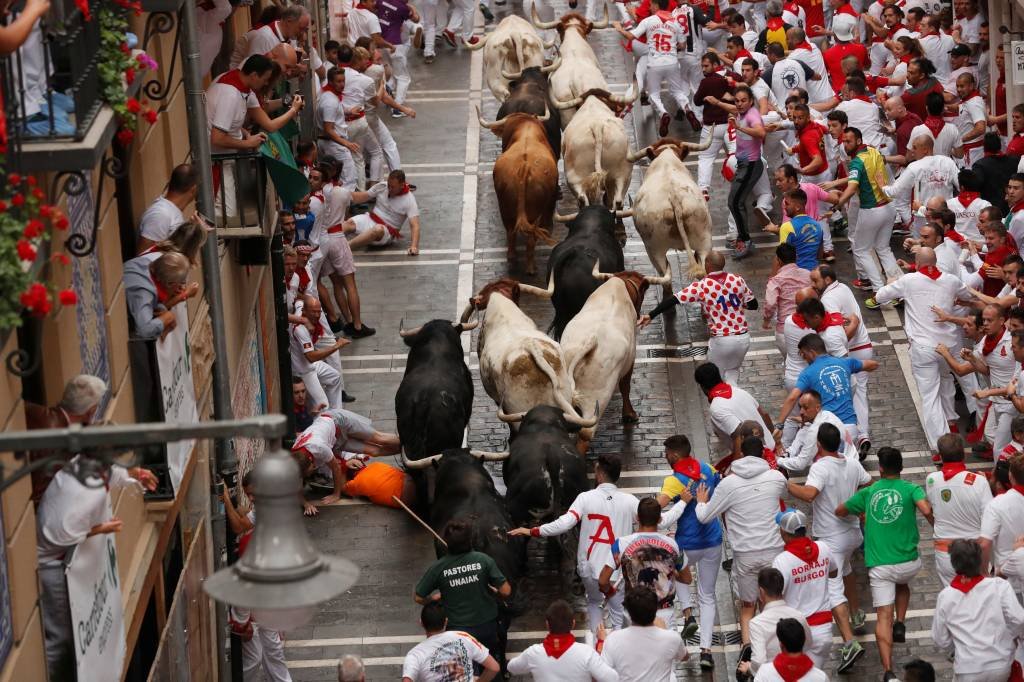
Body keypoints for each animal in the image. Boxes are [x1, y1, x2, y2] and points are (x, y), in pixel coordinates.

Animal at [477, 106, 557, 274]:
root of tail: (524, 167)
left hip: (504, 207)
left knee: (510, 233)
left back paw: (512, 258)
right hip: (535, 212)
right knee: (530, 240)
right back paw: (531, 268)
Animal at [626, 133, 716, 286]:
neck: (666, 157)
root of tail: (674, 196)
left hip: (654, 250)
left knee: (666, 278)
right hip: (704, 240)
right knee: (704, 268)